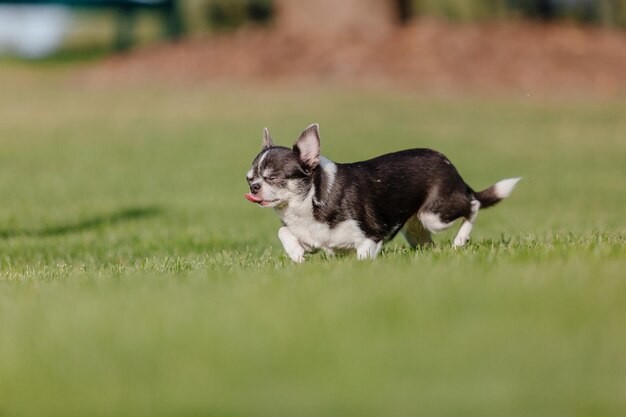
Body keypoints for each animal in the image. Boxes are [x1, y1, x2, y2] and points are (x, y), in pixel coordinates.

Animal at [244, 122, 516, 264]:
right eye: (249, 178)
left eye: (272, 178)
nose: (254, 187)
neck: (308, 202)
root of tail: (449, 164)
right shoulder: (310, 239)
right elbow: (283, 231)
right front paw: (295, 253)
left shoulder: (371, 238)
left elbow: (363, 256)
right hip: (416, 228)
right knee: (429, 243)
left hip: (435, 215)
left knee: (473, 204)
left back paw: (460, 240)